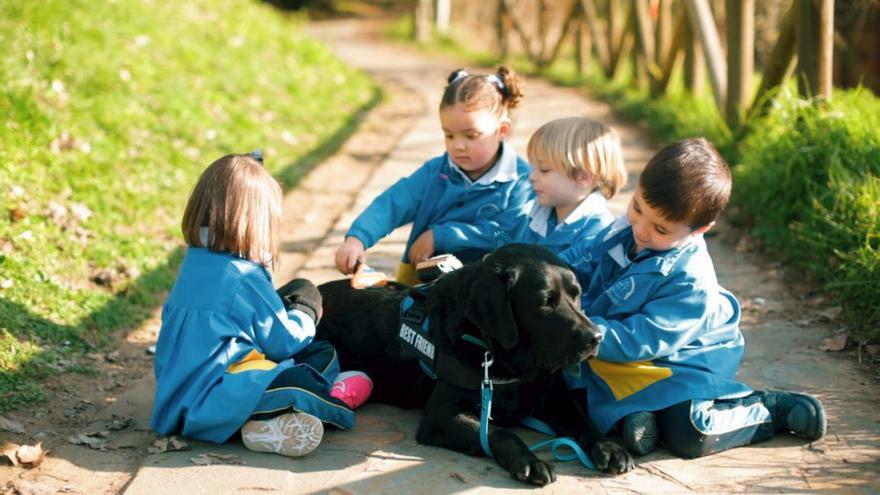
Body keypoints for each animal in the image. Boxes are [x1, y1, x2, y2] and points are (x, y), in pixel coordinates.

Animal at [312, 246, 628, 486]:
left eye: (577, 294)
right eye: (546, 301)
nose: (595, 337)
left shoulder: (554, 396)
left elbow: (584, 420)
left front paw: (609, 447)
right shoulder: (441, 415)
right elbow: (499, 432)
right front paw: (529, 461)